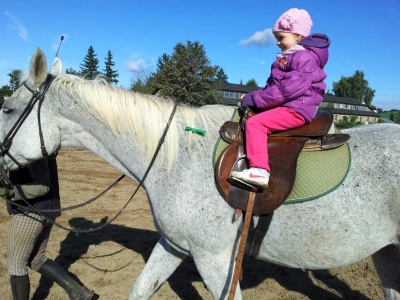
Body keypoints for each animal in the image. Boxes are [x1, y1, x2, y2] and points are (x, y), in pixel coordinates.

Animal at [0, 48, 398, 298]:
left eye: (6, 109)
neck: (177, 159)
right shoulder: (174, 245)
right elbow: (140, 289)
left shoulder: (216, 260)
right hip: (388, 254)